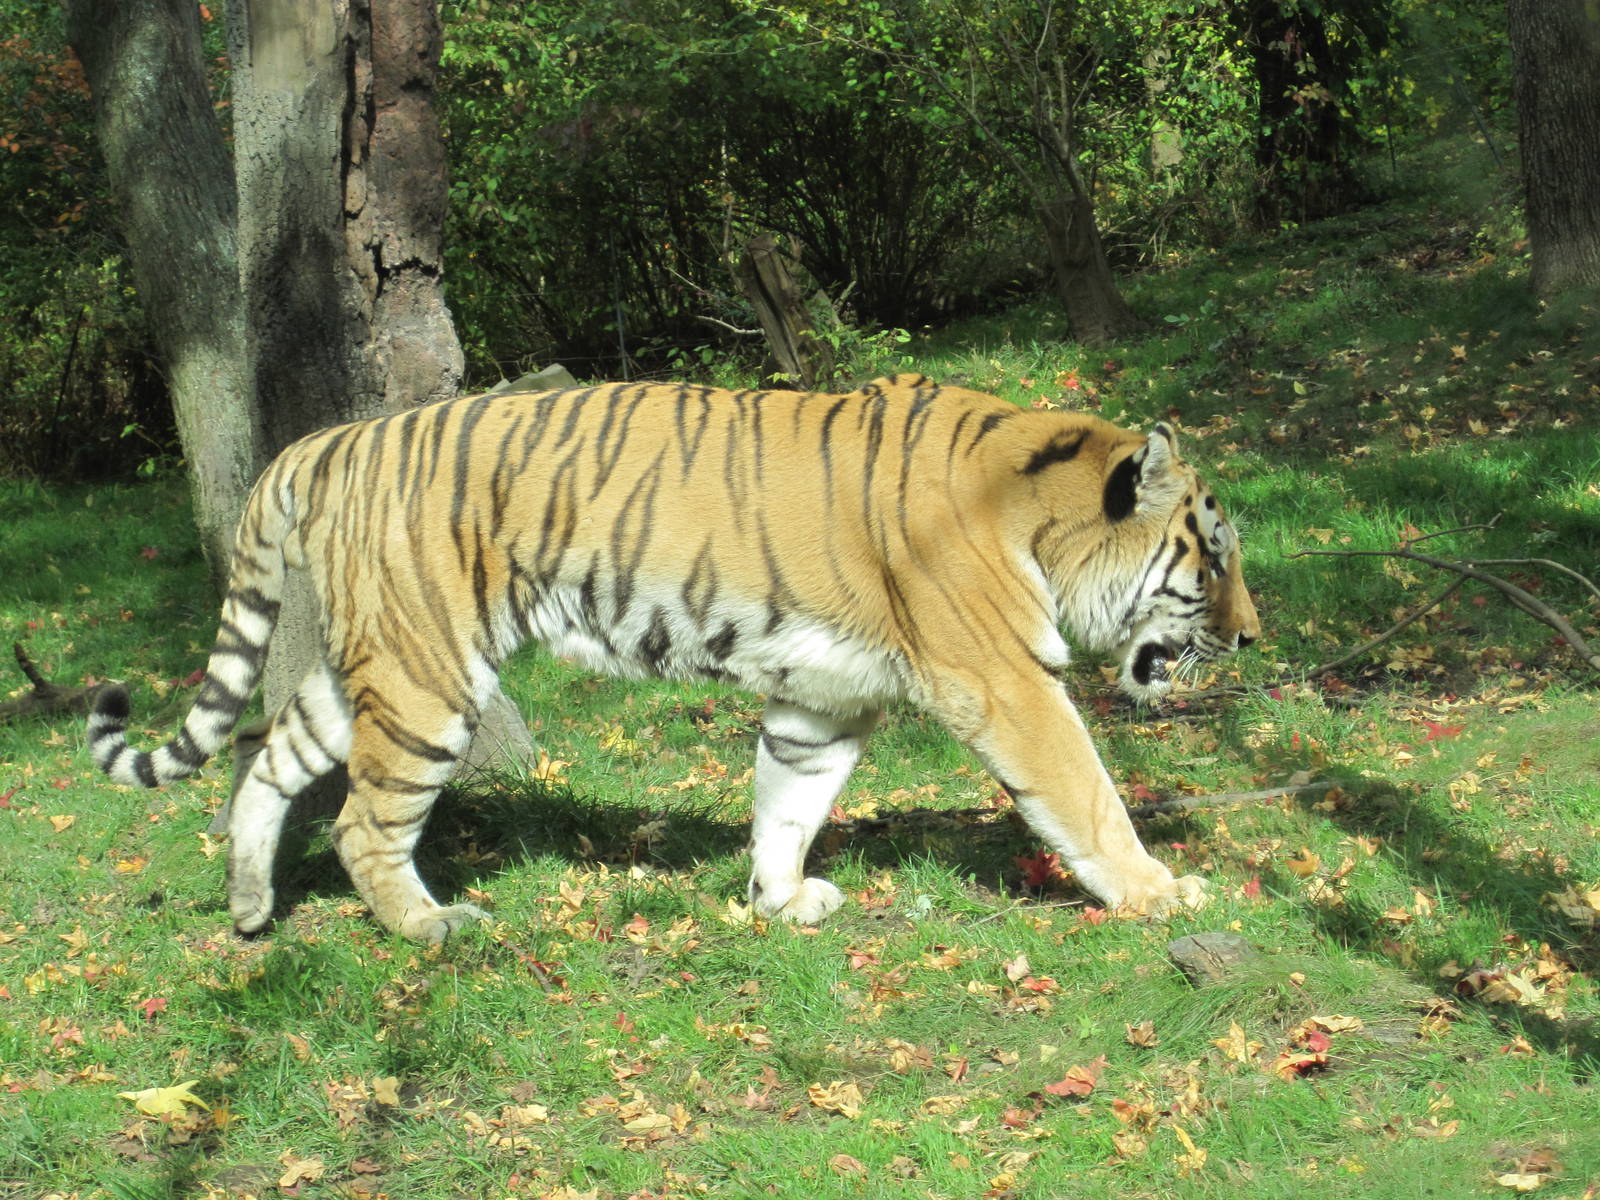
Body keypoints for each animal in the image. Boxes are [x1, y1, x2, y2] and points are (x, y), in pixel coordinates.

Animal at [87, 373, 1259, 942]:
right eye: (1213, 556)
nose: (1254, 635)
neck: (1042, 514)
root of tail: (326, 441)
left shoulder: (824, 702)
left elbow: (788, 800)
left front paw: (780, 902)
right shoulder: (1008, 680)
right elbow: (1087, 792)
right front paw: (1161, 893)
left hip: (367, 667)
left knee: (266, 762)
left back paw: (250, 907)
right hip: (430, 678)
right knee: (360, 825)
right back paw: (430, 926)